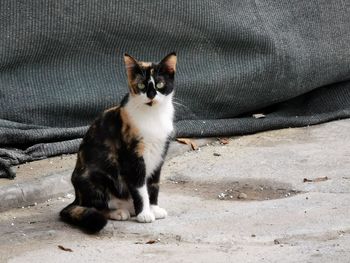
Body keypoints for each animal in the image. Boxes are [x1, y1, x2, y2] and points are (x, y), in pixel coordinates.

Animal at [59, 53, 178, 233]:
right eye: (141, 85)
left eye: (160, 84)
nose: (151, 95)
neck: (153, 116)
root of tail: (77, 197)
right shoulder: (132, 157)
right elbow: (140, 187)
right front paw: (145, 213)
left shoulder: (159, 154)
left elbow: (154, 183)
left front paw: (154, 208)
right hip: (93, 177)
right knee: (96, 206)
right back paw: (118, 212)